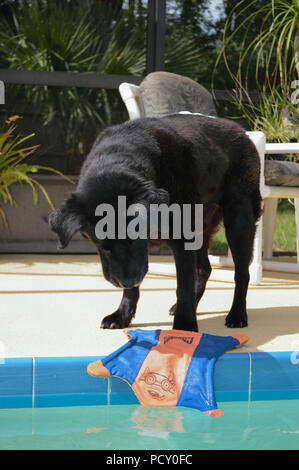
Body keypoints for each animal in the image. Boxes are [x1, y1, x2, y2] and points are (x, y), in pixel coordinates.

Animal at [49, 114, 262, 332]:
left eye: (135, 238)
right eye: (104, 247)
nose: (127, 281)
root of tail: (240, 130)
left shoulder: (181, 240)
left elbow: (183, 285)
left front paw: (185, 326)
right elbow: (134, 289)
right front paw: (122, 315)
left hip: (239, 222)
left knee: (242, 273)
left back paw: (237, 314)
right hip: (201, 228)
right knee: (205, 268)